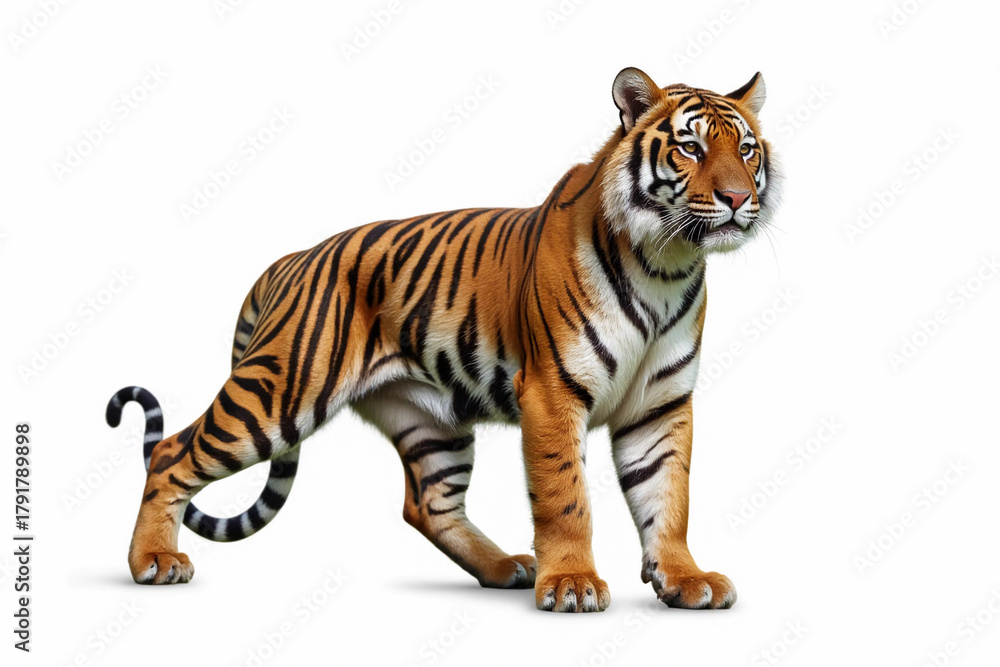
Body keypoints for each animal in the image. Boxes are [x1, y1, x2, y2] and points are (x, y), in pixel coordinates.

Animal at [105, 67, 780, 612]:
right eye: (690, 147)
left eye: (746, 149)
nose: (738, 197)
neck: (668, 265)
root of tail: (291, 260)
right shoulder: (552, 392)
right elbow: (565, 496)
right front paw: (572, 584)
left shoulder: (660, 405)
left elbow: (669, 496)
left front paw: (685, 580)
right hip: (278, 393)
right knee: (170, 454)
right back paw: (153, 563)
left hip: (431, 420)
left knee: (429, 504)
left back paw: (505, 567)